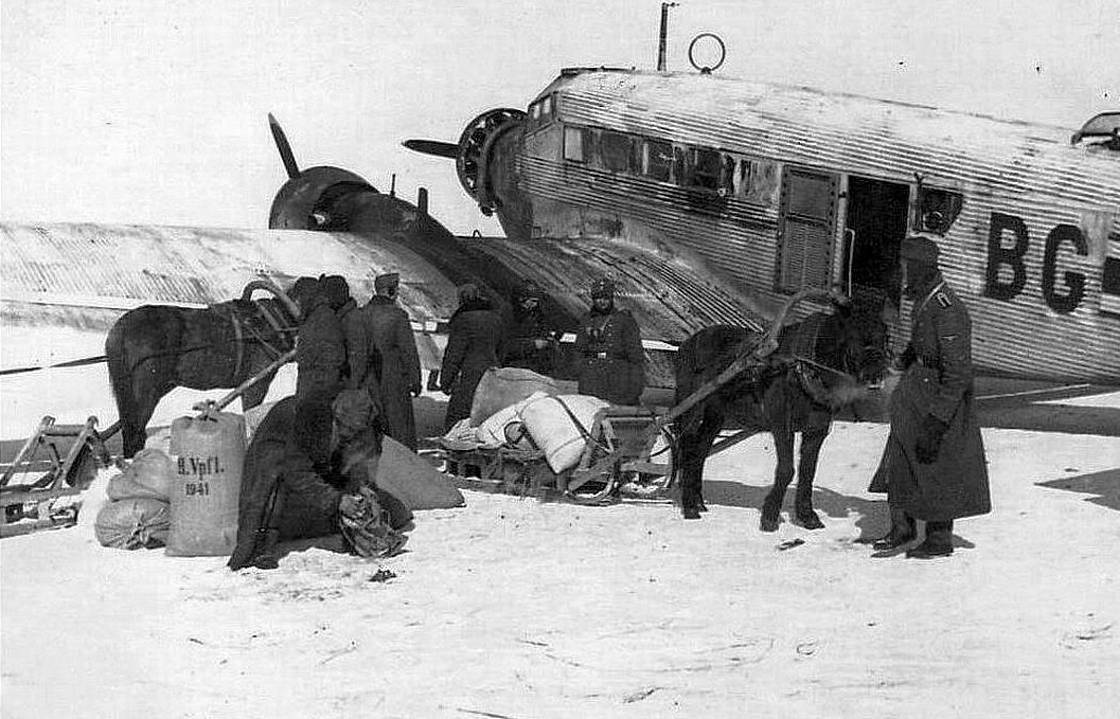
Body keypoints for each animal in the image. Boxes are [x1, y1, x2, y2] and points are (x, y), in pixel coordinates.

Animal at [667, 291, 887, 526]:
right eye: (856, 334)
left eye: (885, 334)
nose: (876, 376)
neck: (804, 368)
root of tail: (687, 343)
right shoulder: (782, 424)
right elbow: (786, 469)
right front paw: (770, 516)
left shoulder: (816, 430)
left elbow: (808, 471)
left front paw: (807, 516)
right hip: (691, 407)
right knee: (688, 448)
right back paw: (690, 507)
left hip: (715, 415)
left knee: (699, 452)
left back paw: (698, 501)